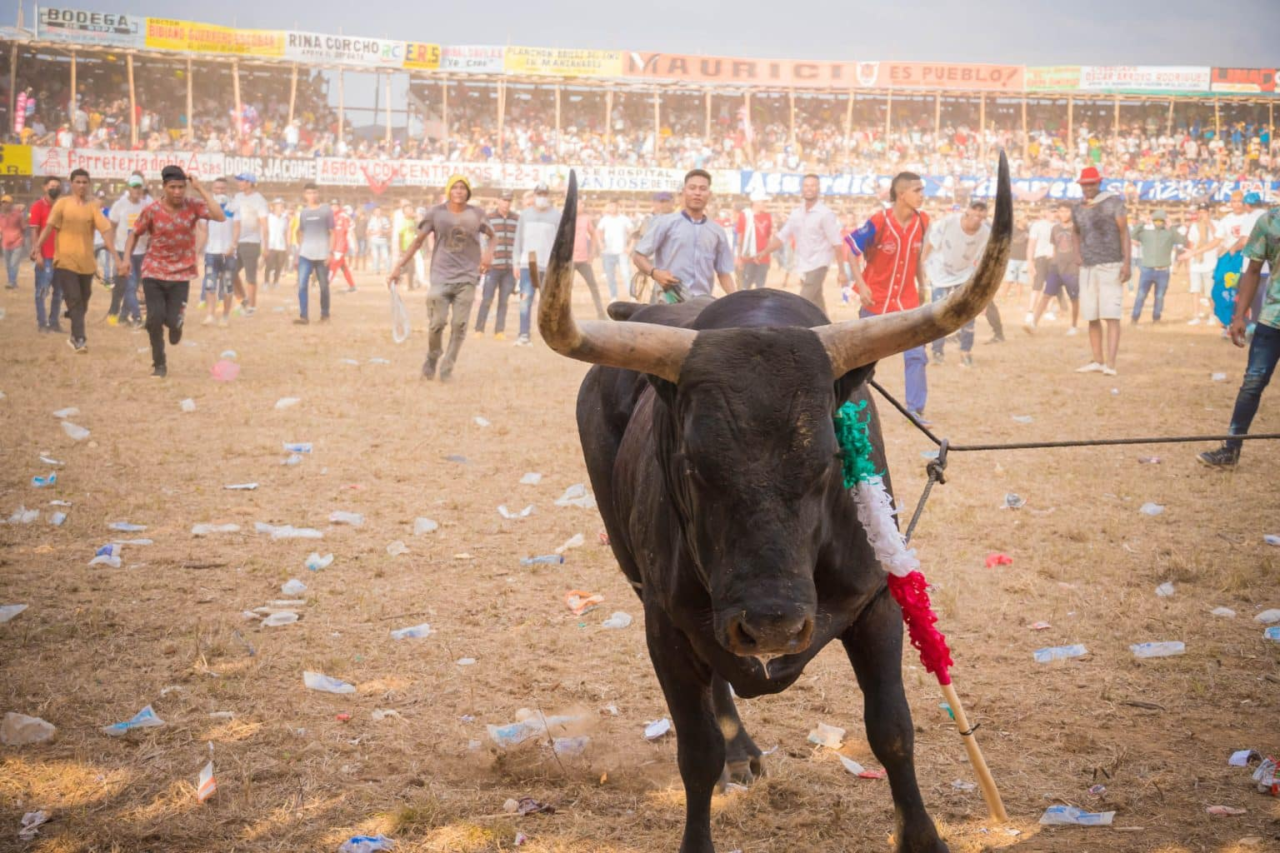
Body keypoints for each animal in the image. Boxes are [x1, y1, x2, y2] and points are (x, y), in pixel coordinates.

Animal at [535, 156, 1003, 845]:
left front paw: (923, 836)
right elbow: (696, 751)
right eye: (692, 464)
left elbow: (892, 731)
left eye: (830, 460)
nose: (772, 625)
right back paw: (740, 750)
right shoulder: (664, 624)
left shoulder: (877, 605)